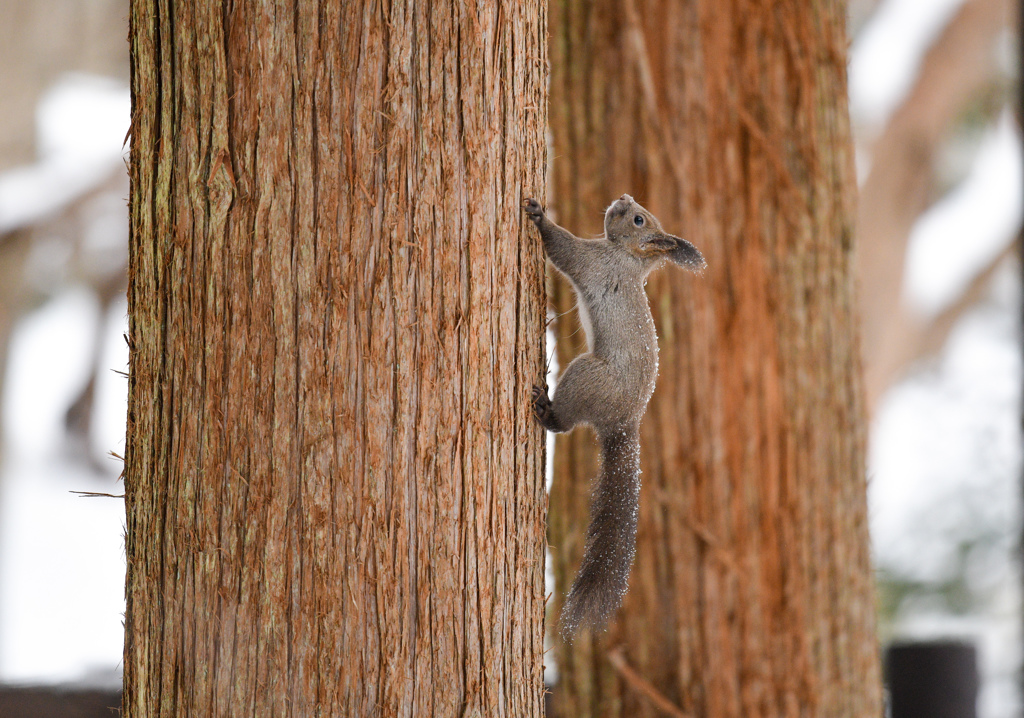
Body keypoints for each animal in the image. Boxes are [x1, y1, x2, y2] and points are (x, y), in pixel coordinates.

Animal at [520, 193, 704, 635]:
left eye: (638, 219)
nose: (623, 197)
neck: (628, 257)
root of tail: (625, 421)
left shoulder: (595, 262)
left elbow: (563, 249)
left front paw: (539, 215)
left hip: (585, 376)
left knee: (565, 423)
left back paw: (546, 409)